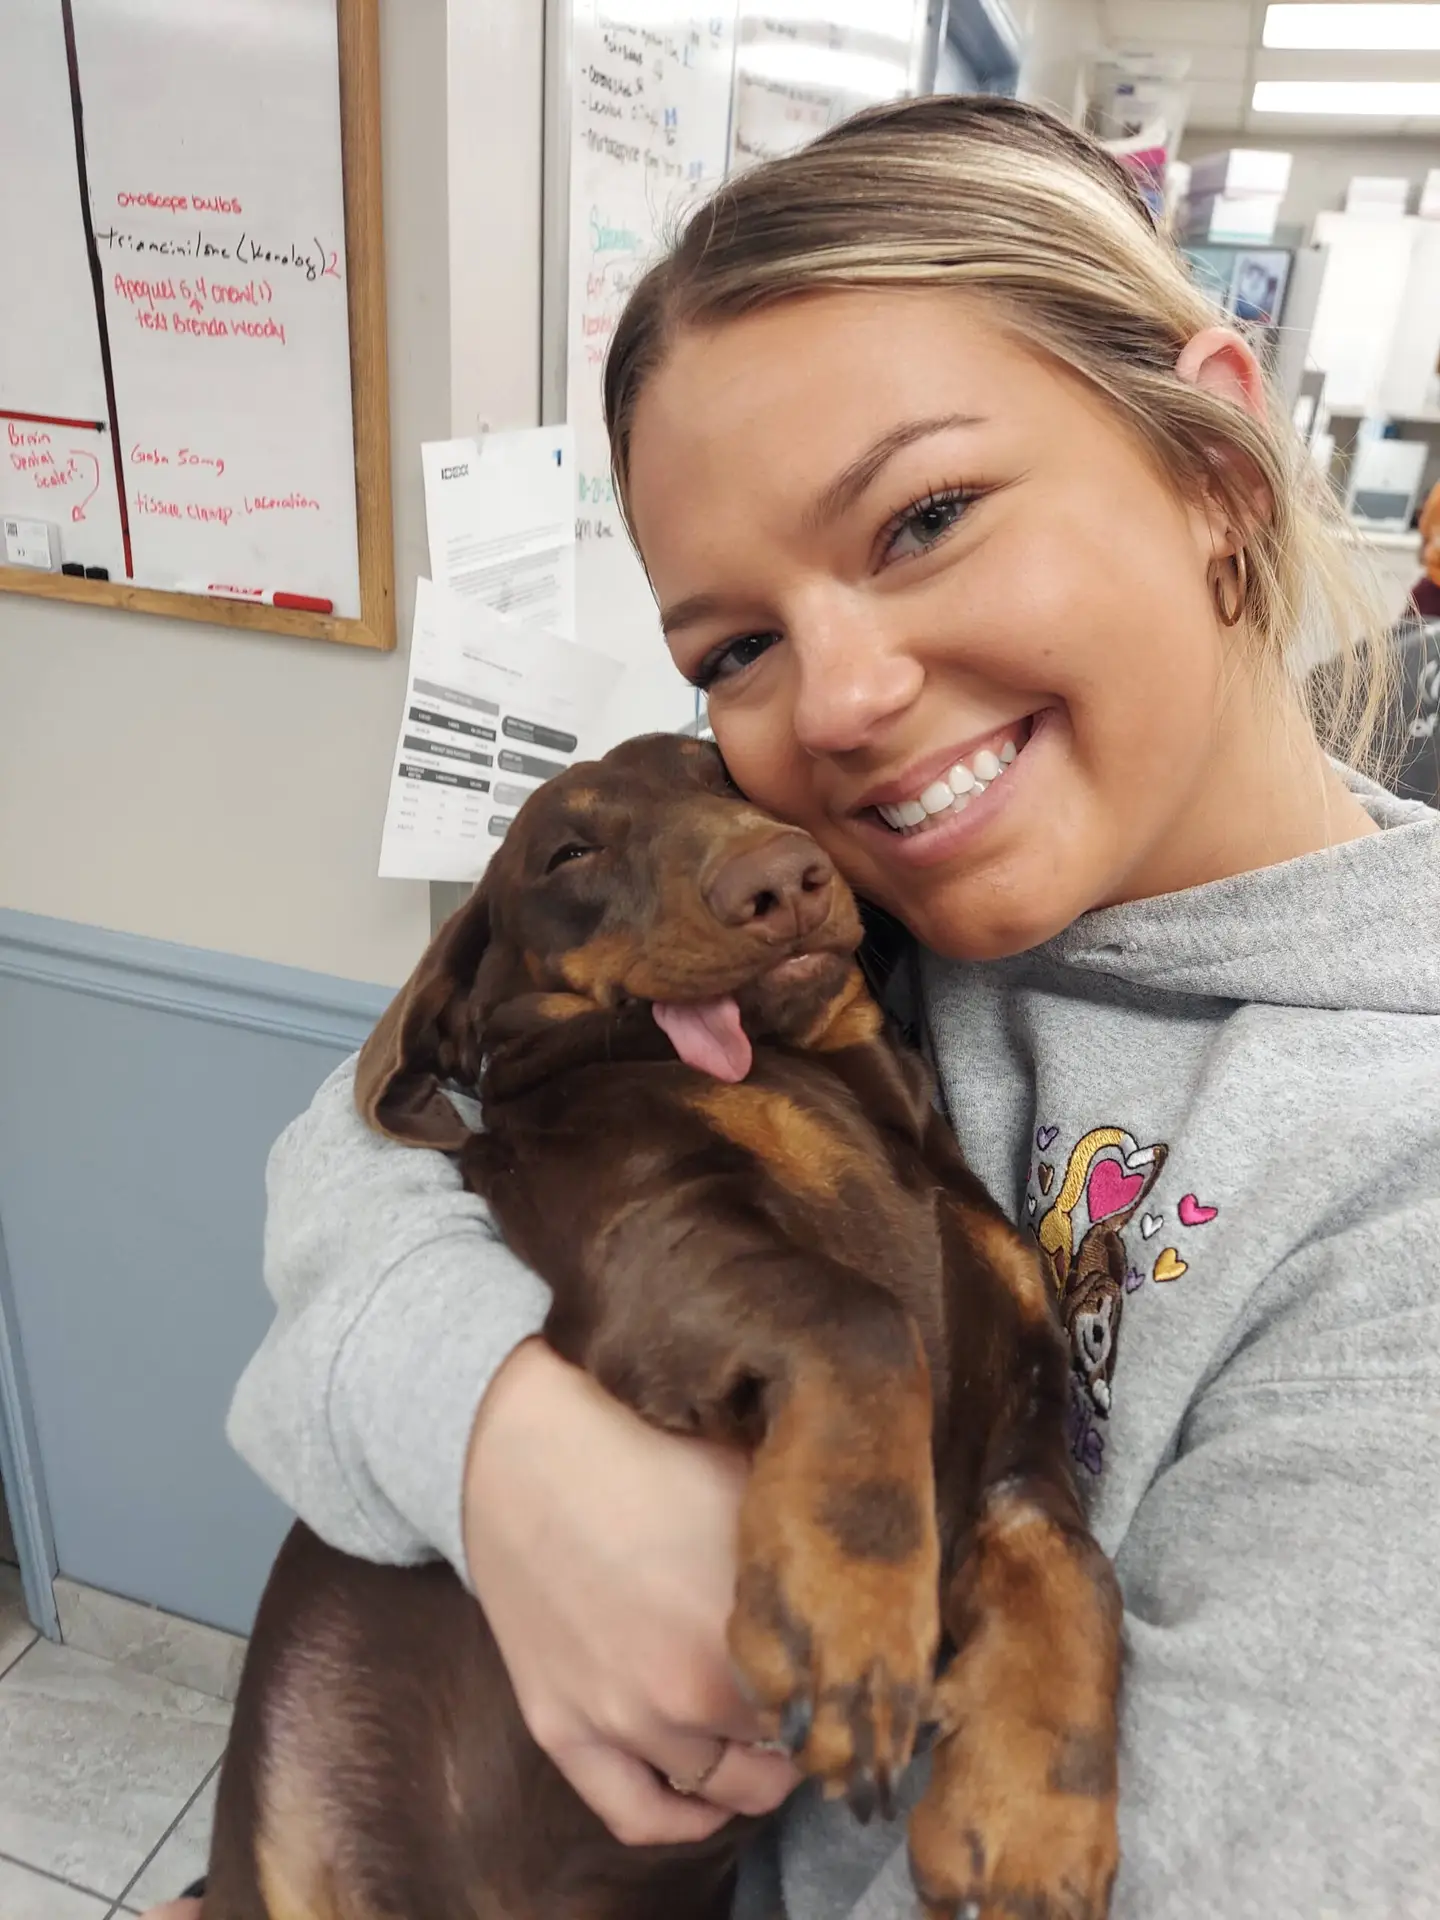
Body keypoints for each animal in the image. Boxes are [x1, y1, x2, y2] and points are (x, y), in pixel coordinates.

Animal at [202, 733, 1122, 1920]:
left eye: (723, 774)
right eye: (569, 852)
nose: (784, 880)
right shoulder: (652, 1246)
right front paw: (851, 1624)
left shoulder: (1022, 1442)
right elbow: (865, 1319)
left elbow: (1074, 1574)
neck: (820, 1074)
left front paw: (1032, 1827)